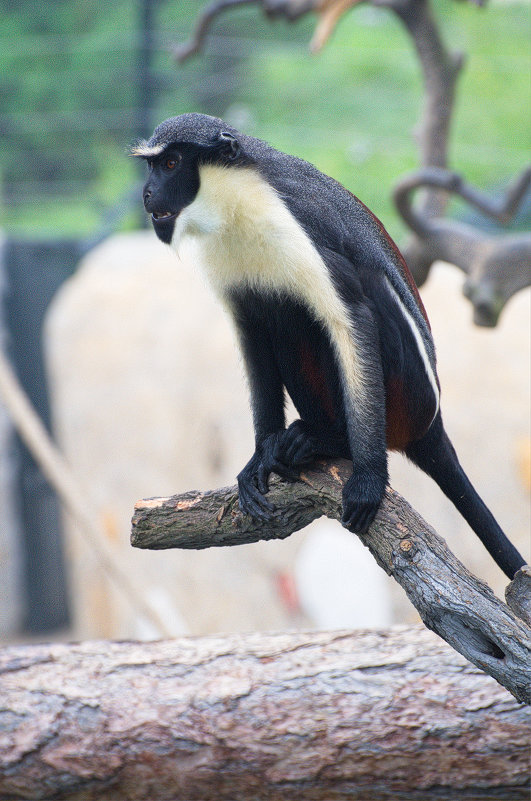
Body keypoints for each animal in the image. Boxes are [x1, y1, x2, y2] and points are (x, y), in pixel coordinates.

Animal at [133, 111, 528, 580]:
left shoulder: (299, 230)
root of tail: (431, 425)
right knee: (282, 316)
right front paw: (258, 456)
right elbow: (254, 337)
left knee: (333, 302)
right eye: (152, 166)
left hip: (404, 399)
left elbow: (351, 319)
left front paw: (369, 480)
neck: (235, 199)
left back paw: (332, 441)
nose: (147, 193)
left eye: (171, 163)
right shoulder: (235, 283)